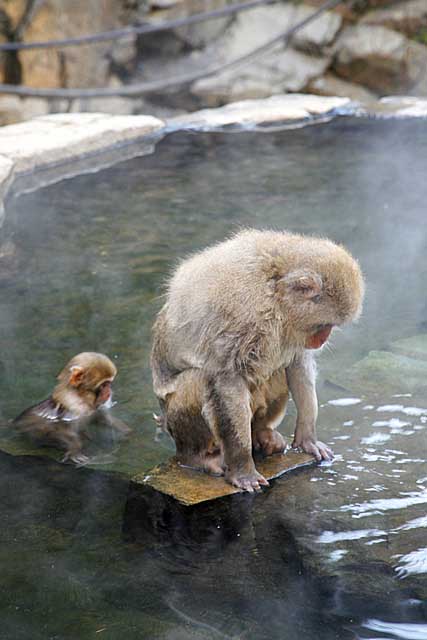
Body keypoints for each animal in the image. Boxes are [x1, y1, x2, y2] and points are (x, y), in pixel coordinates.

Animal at [150, 231, 364, 496]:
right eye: (324, 325)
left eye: (331, 326)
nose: (322, 339)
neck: (276, 294)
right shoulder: (242, 315)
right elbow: (228, 380)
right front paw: (243, 470)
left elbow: (297, 363)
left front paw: (308, 439)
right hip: (174, 418)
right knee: (199, 380)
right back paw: (195, 457)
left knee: (274, 371)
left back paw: (262, 435)